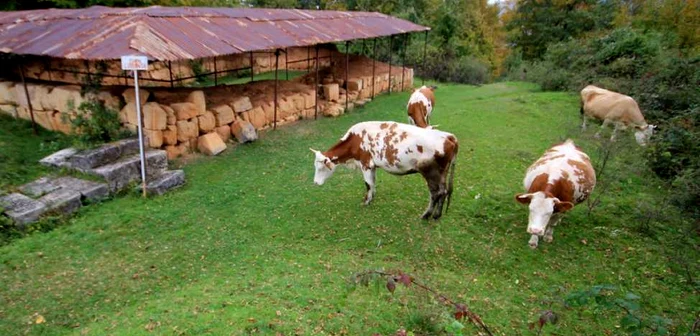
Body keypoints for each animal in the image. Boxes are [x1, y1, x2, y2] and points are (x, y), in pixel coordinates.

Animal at [312, 122, 460, 219]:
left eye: (320, 167)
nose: (315, 183)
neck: (356, 139)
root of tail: (448, 136)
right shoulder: (372, 166)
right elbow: (373, 183)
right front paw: (372, 197)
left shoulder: (365, 164)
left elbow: (368, 184)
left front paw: (366, 201)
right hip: (442, 173)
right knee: (443, 191)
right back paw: (437, 215)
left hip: (430, 172)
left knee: (435, 193)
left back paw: (426, 215)